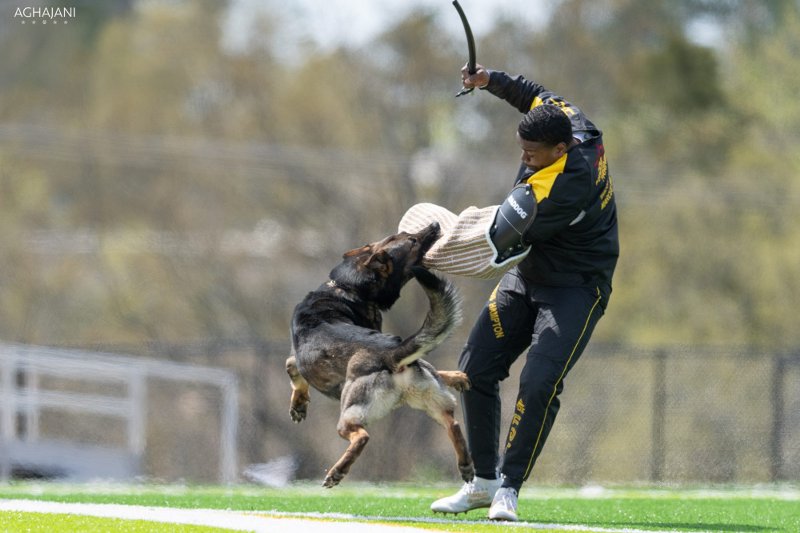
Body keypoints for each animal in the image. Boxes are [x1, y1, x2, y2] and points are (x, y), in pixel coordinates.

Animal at [286, 222, 476, 488]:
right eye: (411, 239)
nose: (435, 225)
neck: (346, 287)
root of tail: (391, 355)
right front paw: (457, 376)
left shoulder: (297, 356)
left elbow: (292, 367)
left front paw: (299, 404)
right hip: (429, 401)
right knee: (454, 423)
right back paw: (465, 465)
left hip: (351, 412)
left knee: (362, 436)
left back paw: (337, 472)